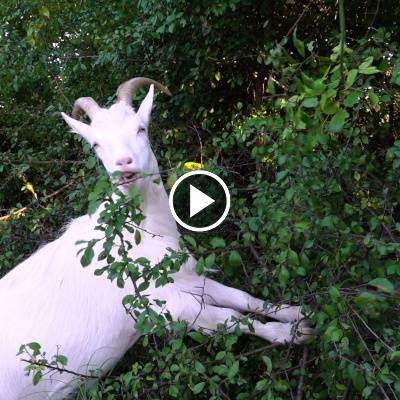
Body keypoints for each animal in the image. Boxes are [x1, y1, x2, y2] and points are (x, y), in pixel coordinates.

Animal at [0, 76, 312, 398]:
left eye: (141, 128)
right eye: (96, 144)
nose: (124, 165)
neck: (137, 235)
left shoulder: (184, 278)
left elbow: (242, 297)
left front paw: (296, 312)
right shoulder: (161, 304)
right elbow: (231, 318)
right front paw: (292, 333)